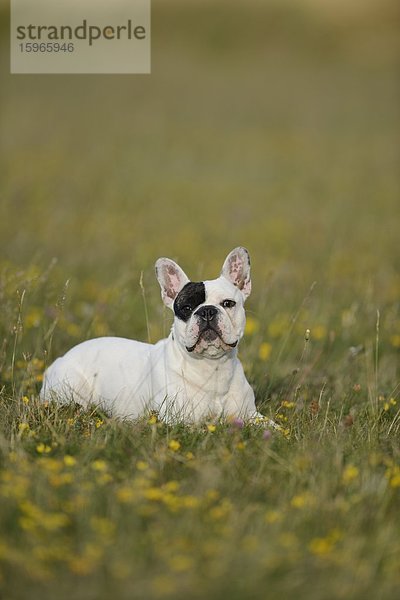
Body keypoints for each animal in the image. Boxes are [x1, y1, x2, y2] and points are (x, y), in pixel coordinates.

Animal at [40, 246, 264, 424]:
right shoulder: (178, 420)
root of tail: (59, 360)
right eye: (186, 308)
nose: (207, 311)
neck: (212, 366)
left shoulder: (251, 416)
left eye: (228, 303)